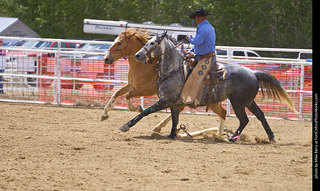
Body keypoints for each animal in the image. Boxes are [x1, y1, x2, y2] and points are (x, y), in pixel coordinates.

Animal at [119, 32, 298, 141]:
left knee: (244, 119)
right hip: (248, 102)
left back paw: (231, 137)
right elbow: (175, 120)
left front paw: (126, 125)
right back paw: (270, 137)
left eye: (153, 43)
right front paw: (171, 135)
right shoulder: (174, 104)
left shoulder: (165, 100)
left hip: (238, 103)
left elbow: (145, 112)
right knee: (260, 115)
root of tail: (253, 73)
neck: (174, 69)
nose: (138, 55)